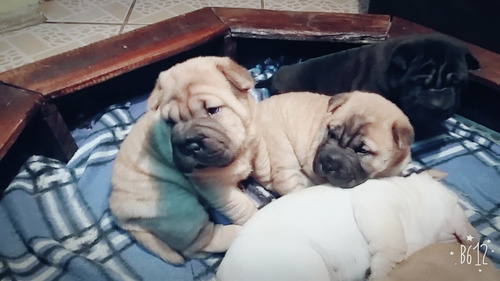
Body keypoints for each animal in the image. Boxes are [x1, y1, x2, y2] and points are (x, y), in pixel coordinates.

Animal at [111, 56, 272, 262]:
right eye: (170, 122)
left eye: (212, 110)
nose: (189, 144)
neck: (239, 150)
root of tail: (117, 212)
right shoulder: (215, 187)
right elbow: (242, 206)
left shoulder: (256, 140)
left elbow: (263, 166)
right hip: (182, 208)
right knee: (198, 245)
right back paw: (235, 232)